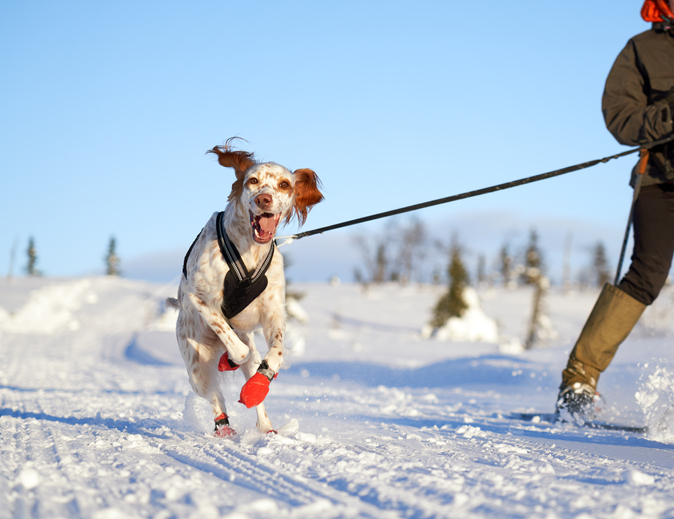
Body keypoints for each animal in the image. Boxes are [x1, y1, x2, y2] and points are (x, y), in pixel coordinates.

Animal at [168, 139, 326, 438]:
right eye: (253, 181)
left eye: (284, 185)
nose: (264, 199)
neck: (249, 249)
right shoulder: (198, 297)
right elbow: (236, 347)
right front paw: (229, 359)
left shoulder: (274, 312)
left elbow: (274, 355)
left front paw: (256, 385)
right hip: (194, 363)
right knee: (215, 393)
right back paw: (224, 427)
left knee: (252, 372)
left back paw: (265, 427)